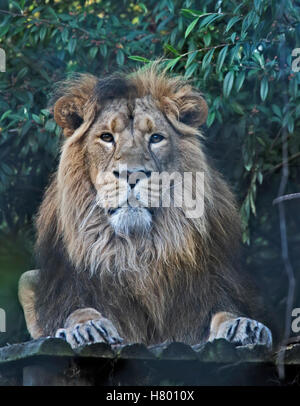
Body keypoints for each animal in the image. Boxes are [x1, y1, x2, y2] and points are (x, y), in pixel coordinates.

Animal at [17, 66, 274, 348]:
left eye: (156, 138)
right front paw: (87, 327)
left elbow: (223, 312)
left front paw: (243, 326)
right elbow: (77, 311)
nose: (132, 174)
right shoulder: (63, 287)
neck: (137, 250)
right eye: (106, 137)